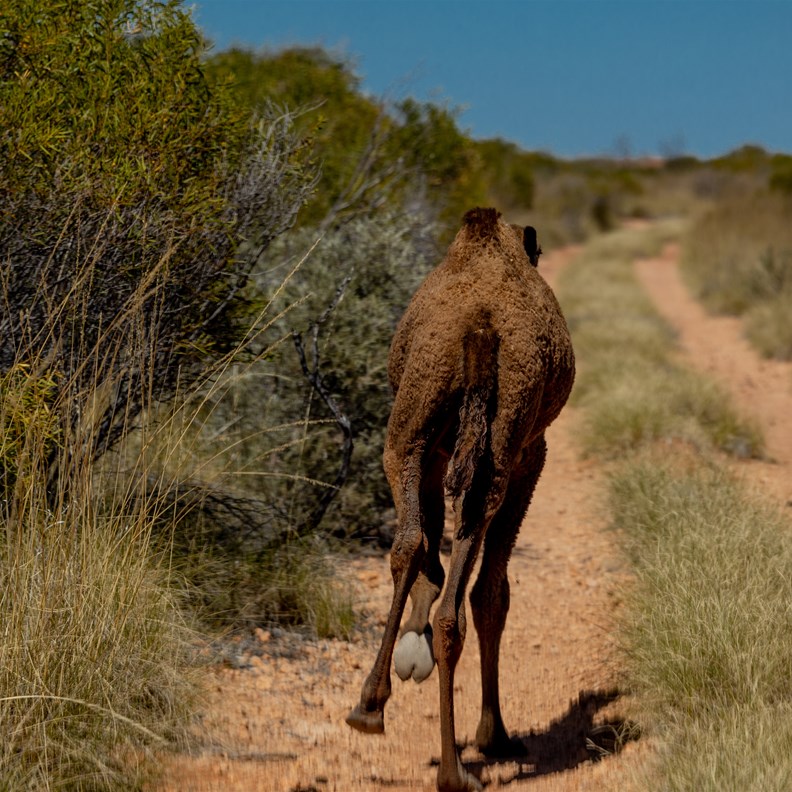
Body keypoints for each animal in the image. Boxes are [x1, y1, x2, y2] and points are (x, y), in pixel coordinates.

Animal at [346, 208, 575, 792]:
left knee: (410, 547)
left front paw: (413, 649)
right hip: (499, 442)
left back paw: (373, 710)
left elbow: (425, 552)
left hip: (415, 424)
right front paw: (494, 734)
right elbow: (491, 591)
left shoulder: (438, 449)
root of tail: (479, 328)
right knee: (461, 586)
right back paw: (456, 764)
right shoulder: (533, 452)